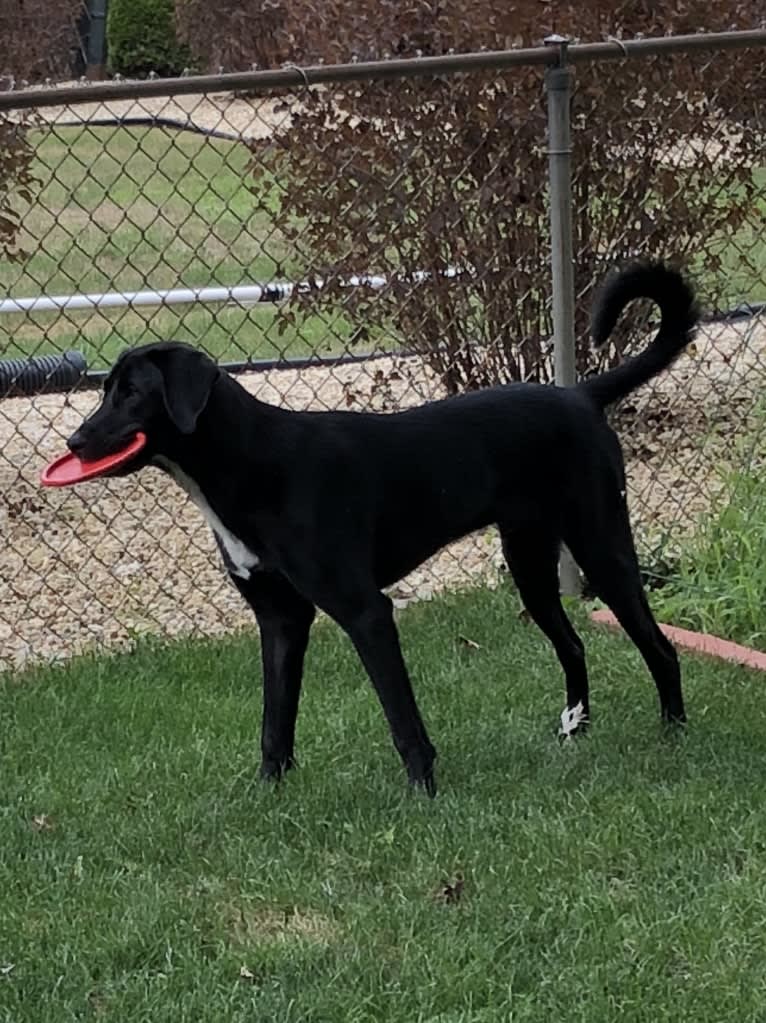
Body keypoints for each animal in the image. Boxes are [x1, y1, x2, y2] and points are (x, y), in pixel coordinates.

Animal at [66, 259, 699, 793]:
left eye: (132, 393)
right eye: (105, 390)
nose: (73, 441)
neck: (252, 463)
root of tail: (580, 394)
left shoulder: (366, 611)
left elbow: (401, 718)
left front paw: (425, 792)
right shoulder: (280, 620)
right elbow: (275, 722)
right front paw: (267, 794)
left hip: (600, 544)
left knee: (660, 647)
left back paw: (674, 735)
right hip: (529, 560)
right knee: (572, 643)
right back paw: (574, 729)